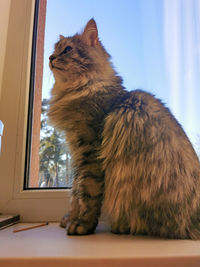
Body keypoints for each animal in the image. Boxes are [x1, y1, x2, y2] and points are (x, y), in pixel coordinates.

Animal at [48, 19, 200, 241]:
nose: (50, 58)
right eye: (54, 50)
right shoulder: (77, 155)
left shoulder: (90, 155)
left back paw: (121, 226)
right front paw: (70, 218)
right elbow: (75, 192)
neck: (80, 89)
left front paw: (82, 225)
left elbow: (86, 194)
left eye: (67, 50)